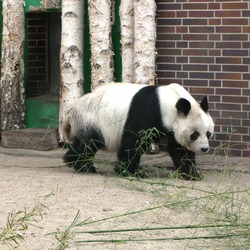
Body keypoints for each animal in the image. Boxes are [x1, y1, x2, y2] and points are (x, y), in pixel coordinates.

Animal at [63, 83, 214, 180]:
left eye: (208, 133)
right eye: (195, 134)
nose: (204, 148)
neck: (171, 101)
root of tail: (71, 111)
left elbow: (180, 149)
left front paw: (192, 174)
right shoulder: (149, 111)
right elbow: (133, 141)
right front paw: (129, 171)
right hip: (91, 119)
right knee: (88, 143)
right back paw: (81, 165)